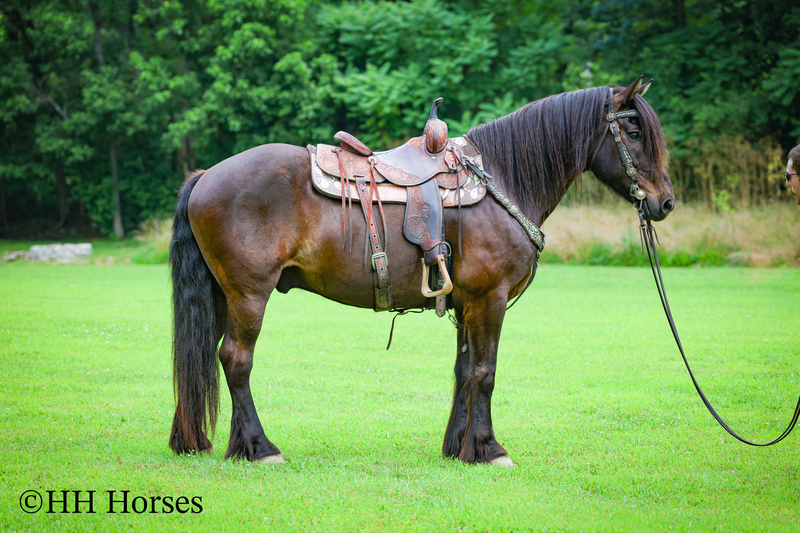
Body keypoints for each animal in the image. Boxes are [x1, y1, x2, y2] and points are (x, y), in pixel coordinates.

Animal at [168, 77, 675, 466]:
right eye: (633, 131)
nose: (665, 203)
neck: (501, 182)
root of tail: (206, 176)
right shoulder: (490, 298)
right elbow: (485, 372)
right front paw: (489, 448)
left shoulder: (468, 302)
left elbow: (464, 369)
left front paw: (460, 447)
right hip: (249, 293)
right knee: (236, 359)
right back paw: (259, 447)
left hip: (222, 295)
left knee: (202, 355)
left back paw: (202, 441)